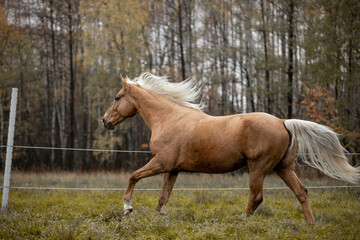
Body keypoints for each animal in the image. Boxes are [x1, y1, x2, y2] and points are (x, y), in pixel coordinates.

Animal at [102, 72, 360, 224]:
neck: (169, 118)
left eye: (116, 97)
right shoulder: (172, 169)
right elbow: (163, 197)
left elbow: (133, 177)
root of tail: (282, 122)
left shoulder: (160, 163)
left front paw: (127, 208)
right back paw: (310, 223)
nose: (105, 121)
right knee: (302, 192)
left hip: (259, 167)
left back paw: (242, 220)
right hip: (284, 168)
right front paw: (159, 218)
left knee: (256, 196)